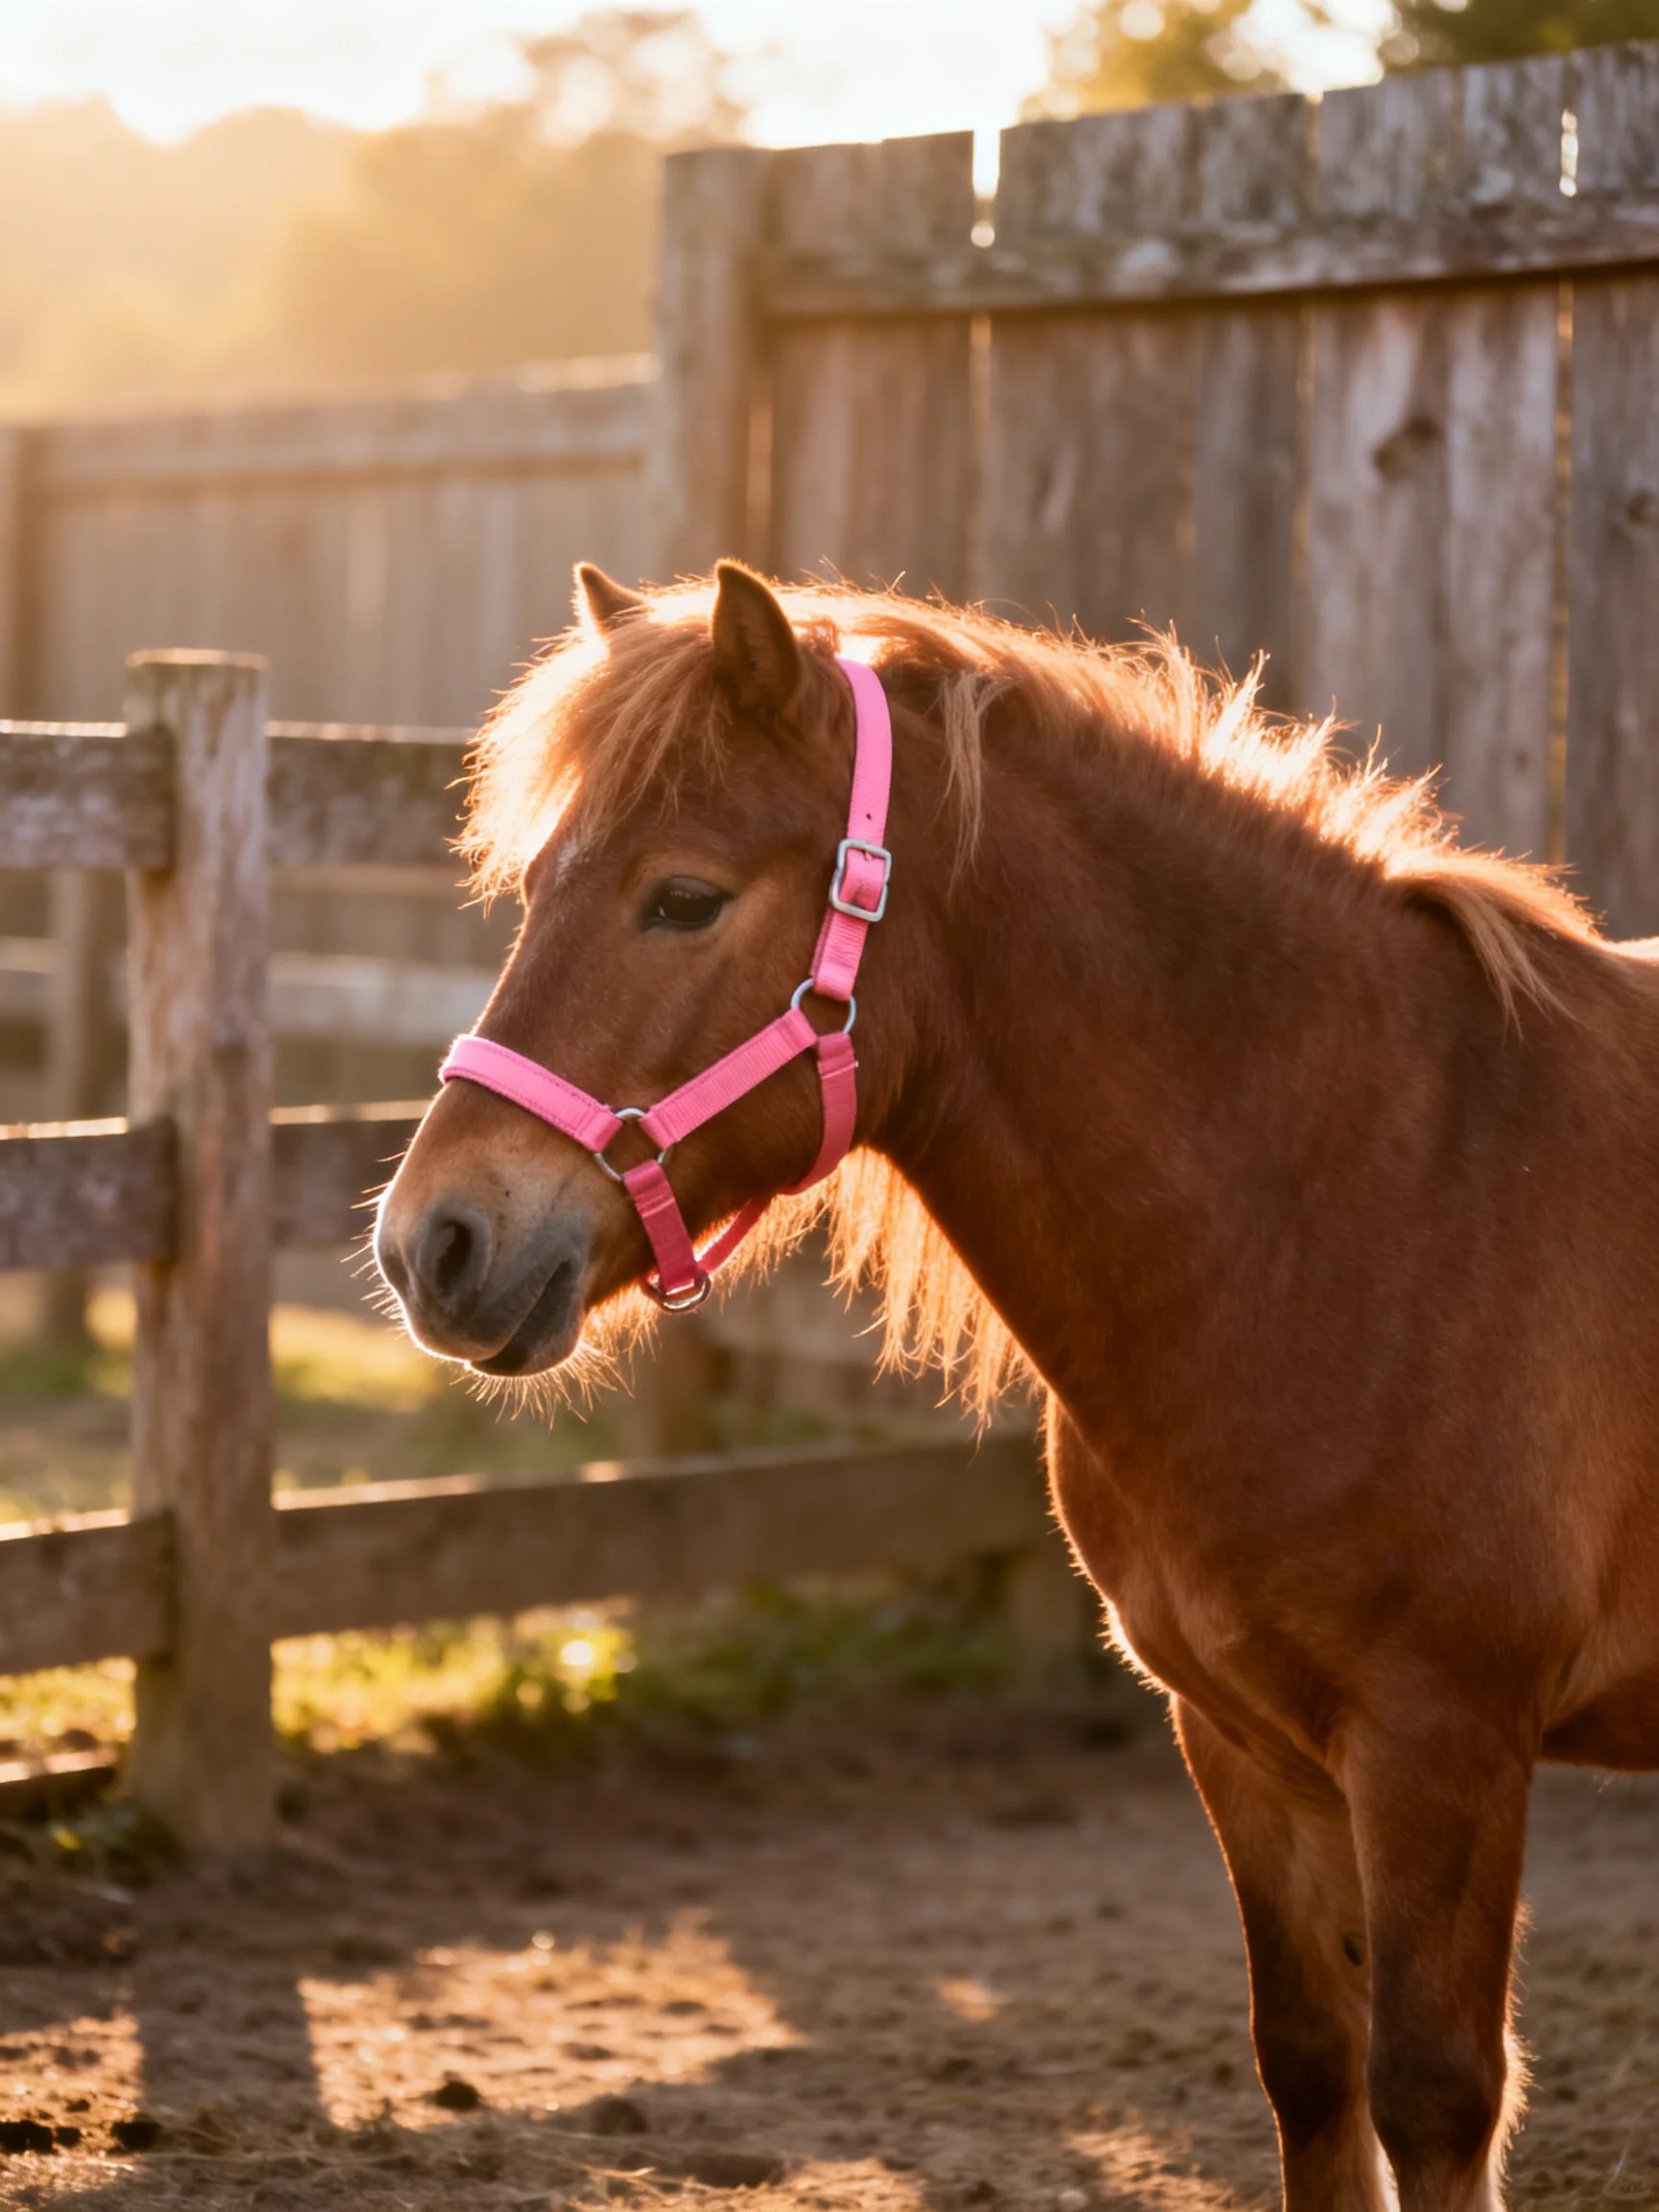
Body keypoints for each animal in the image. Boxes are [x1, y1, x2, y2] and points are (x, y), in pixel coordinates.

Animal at [375, 560, 1659, 2212]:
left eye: (684, 899)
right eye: (536, 888)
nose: (433, 1245)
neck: (1383, 1197)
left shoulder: (1445, 1745)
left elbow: (1431, 2093)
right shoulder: (1245, 1745)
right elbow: (1314, 2074)